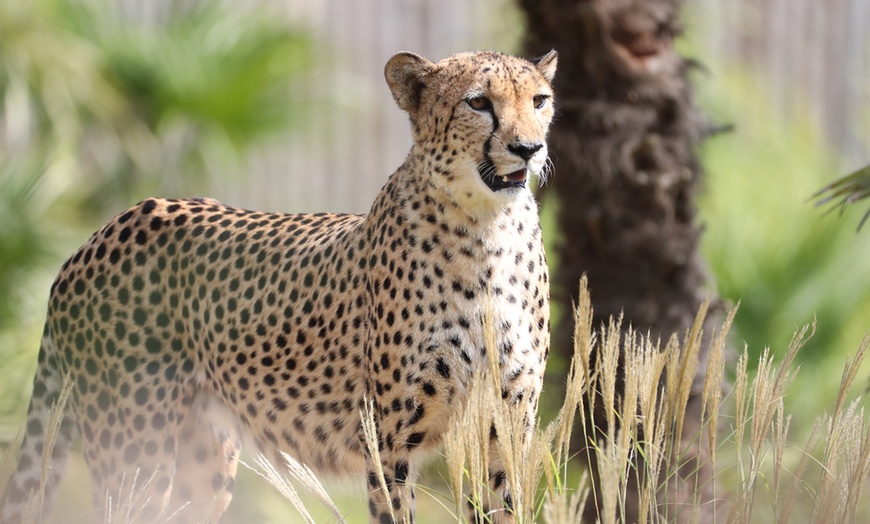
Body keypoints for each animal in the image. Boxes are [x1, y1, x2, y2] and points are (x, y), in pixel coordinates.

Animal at [0, 49, 560, 524]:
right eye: (479, 102)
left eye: (539, 101)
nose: (529, 149)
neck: (486, 232)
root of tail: (98, 235)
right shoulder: (388, 441)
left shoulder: (503, 427)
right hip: (136, 457)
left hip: (201, 463)